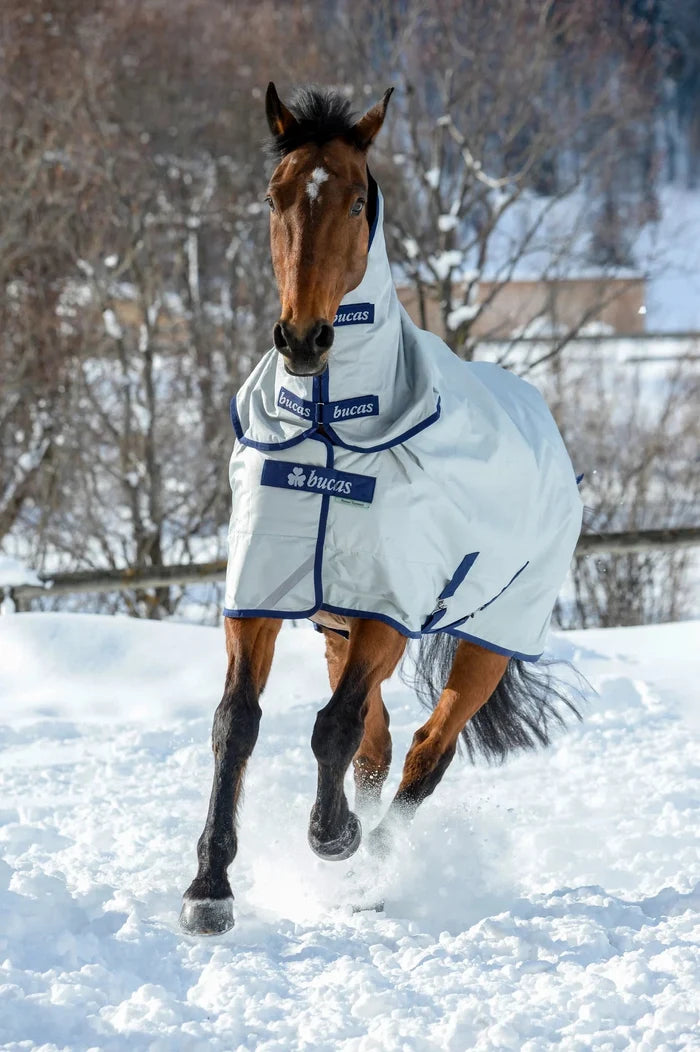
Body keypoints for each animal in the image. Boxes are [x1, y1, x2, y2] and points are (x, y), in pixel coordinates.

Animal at [179, 84, 583, 936]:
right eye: (274, 197)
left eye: (358, 202)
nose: (304, 339)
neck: (333, 420)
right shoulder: (260, 596)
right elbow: (238, 723)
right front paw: (209, 887)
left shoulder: (387, 610)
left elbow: (330, 727)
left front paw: (334, 839)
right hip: (341, 631)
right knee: (379, 745)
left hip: (489, 640)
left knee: (427, 749)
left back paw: (373, 869)